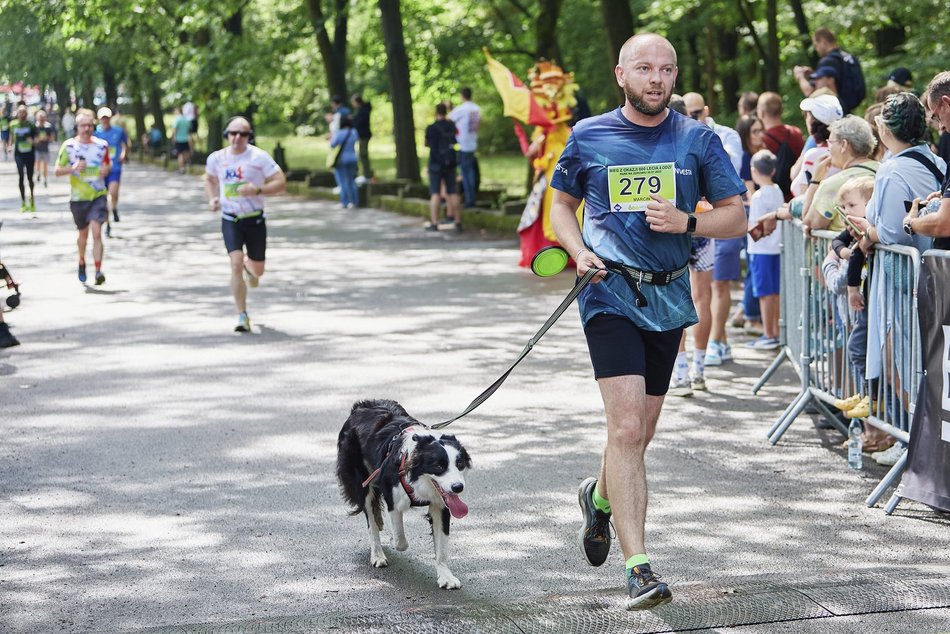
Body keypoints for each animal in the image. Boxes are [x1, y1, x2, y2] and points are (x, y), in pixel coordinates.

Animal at [336, 400, 474, 588]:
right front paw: (393, 540)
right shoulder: (393, 499)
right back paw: (377, 554)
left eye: (459, 463)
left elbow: (442, 546)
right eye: (438, 466)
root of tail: (360, 406)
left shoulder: (441, 505)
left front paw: (446, 577)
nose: (458, 487)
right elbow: (400, 539)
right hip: (361, 480)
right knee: (371, 518)